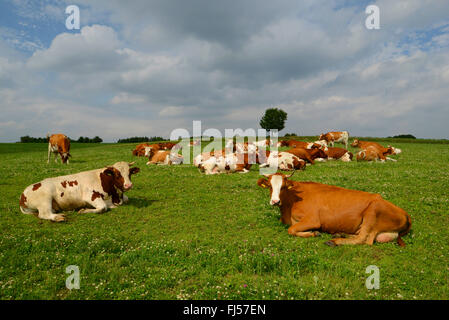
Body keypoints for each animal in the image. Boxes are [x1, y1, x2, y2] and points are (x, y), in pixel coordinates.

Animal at [258, 171, 412, 246]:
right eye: (270, 186)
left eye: (283, 186)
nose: (275, 201)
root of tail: (405, 213)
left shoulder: (313, 220)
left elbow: (291, 230)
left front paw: (314, 233)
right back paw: (339, 234)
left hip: (373, 211)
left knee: (364, 239)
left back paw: (334, 241)